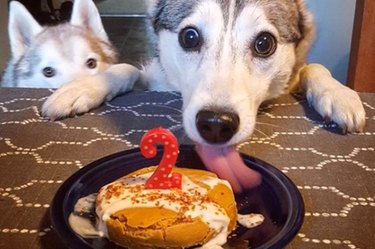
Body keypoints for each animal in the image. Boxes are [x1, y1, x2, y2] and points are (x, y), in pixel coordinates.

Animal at [41, 0, 368, 192]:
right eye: (190, 37)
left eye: (264, 43)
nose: (216, 123)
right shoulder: (154, 77)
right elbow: (126, 69)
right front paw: (80, 88)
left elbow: (315, 67)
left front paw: (340, 95)